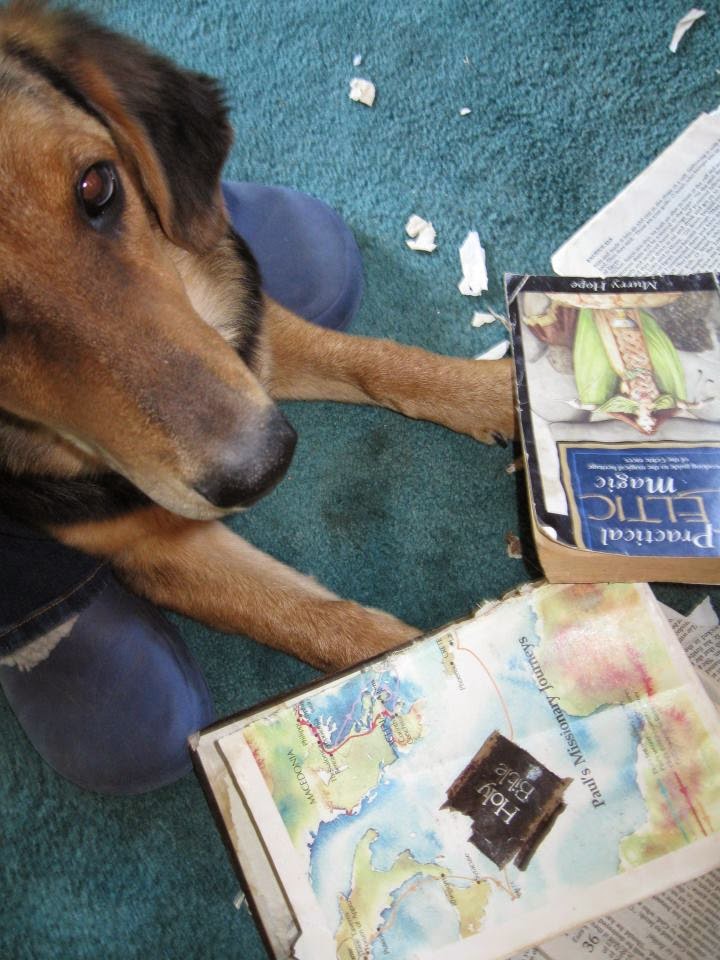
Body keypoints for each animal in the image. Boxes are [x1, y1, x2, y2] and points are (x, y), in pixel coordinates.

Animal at [0, 1, 515, 670]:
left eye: (97, 185)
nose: (265, 465)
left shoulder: (242, 335)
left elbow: (381, 363)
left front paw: (520, 388)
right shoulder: (146, 542)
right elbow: (319, 622)